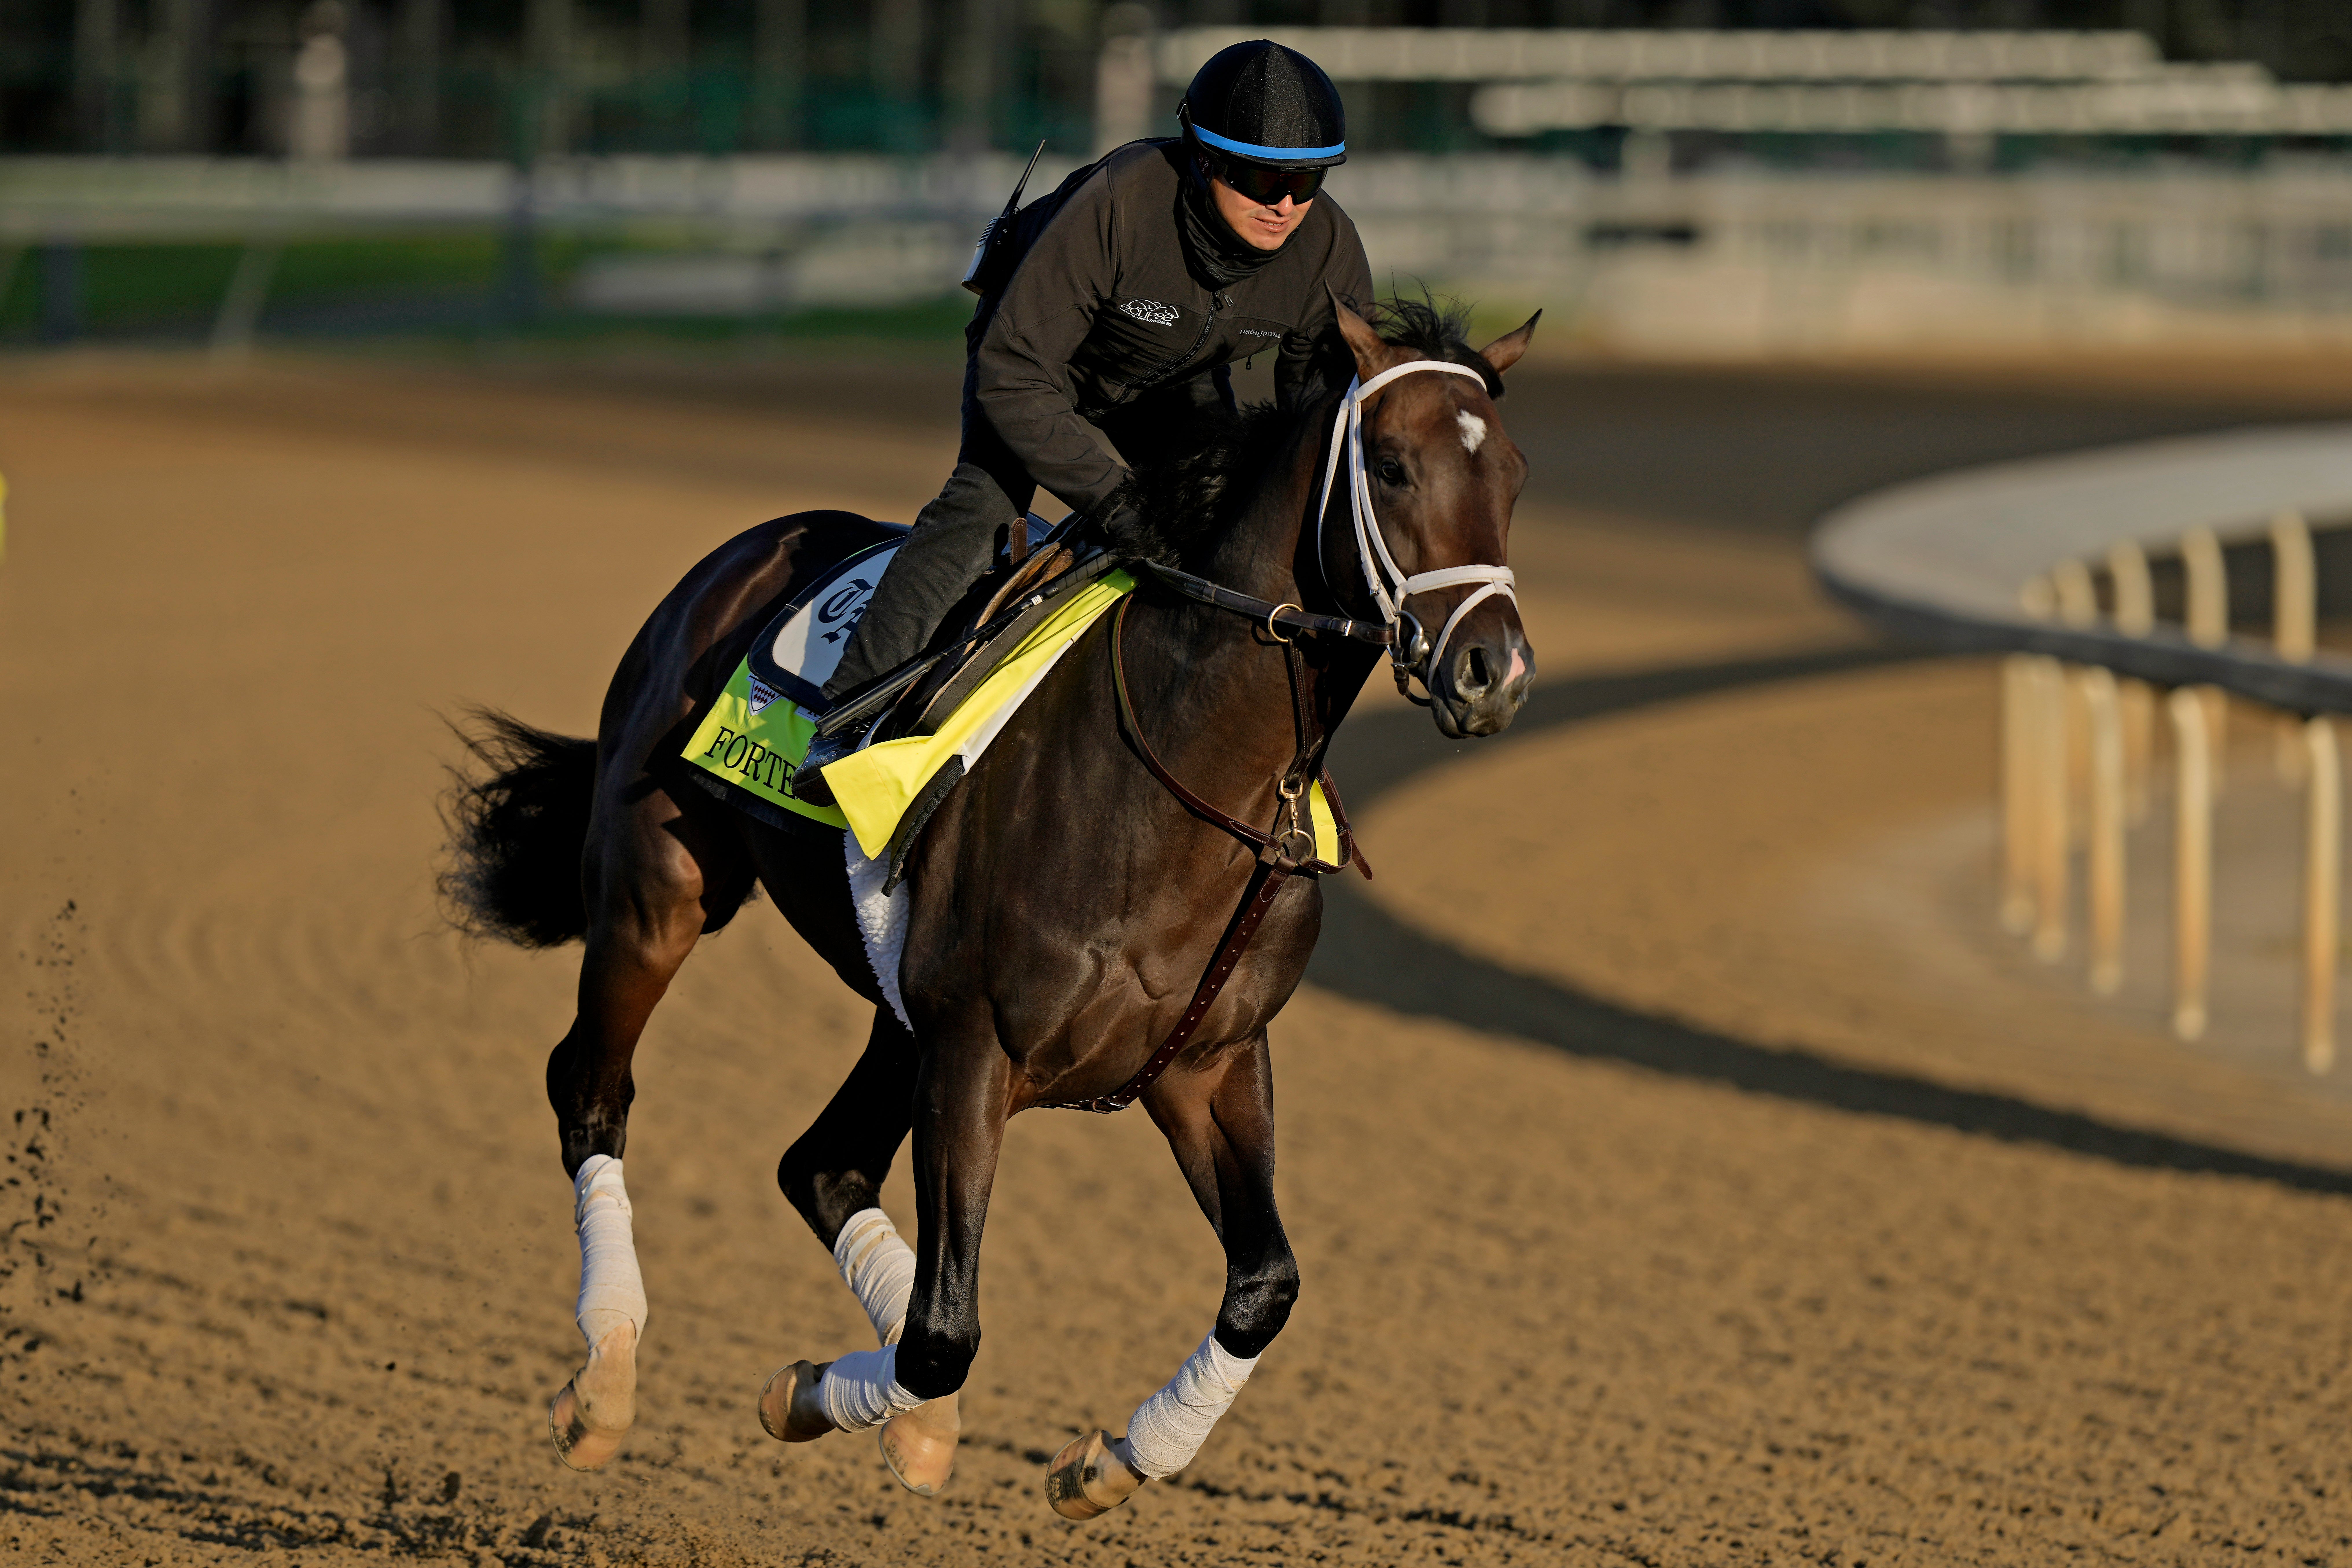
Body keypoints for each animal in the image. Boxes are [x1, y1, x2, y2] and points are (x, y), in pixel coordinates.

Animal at [440, 298, 1538, 1519]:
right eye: (1389, 463)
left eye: (1514, 472)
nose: (1490, 668)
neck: (1177, 773)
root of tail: (736, 555)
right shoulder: (976, 1045)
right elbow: (940, 1335)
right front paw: (851, 1404)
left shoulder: (1208, 1059)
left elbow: (1263, 1284)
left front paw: (1108, 1458)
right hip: (660, 888)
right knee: (591, 1088)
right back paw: (605, 1378)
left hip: (896, 1009)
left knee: (816, 1161)